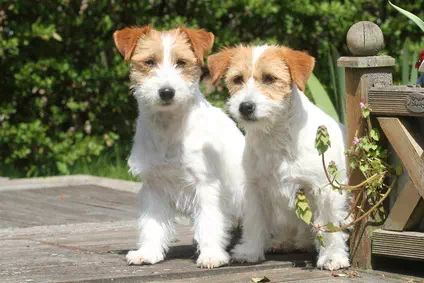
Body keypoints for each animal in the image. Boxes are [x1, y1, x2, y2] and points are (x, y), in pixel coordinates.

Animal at [112, 25, 245, 270]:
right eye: (149, 62)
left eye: (181, 62)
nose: (167, 92)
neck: (169, 127)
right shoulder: (154, 185)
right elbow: (152, 224)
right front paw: (148, 252)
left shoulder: (206, 184)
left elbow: (209, 222)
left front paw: (211, 255)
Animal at [209, 44, 352, 270]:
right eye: (237, 79)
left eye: (269, 78)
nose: (245, 107)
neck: (274, 136)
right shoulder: (255, 188)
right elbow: (254, 222)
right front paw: (250, 250)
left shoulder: (325, 190)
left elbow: (329, 226)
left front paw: (332, 257)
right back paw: (284, 241)